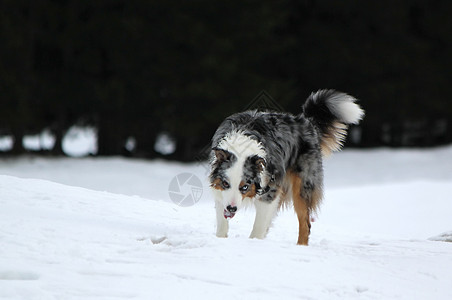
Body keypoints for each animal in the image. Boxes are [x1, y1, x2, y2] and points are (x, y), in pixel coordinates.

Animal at [208, 88, 364, 244]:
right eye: (225, 183)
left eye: (245, 186)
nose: (232, 208)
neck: (241, 149)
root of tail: (307, 122)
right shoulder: (221, 193)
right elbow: (222, 223)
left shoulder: (269, 192)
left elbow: (258, 228)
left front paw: (254, 242)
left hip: (302, 187)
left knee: (305, 224)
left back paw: (300, 246)